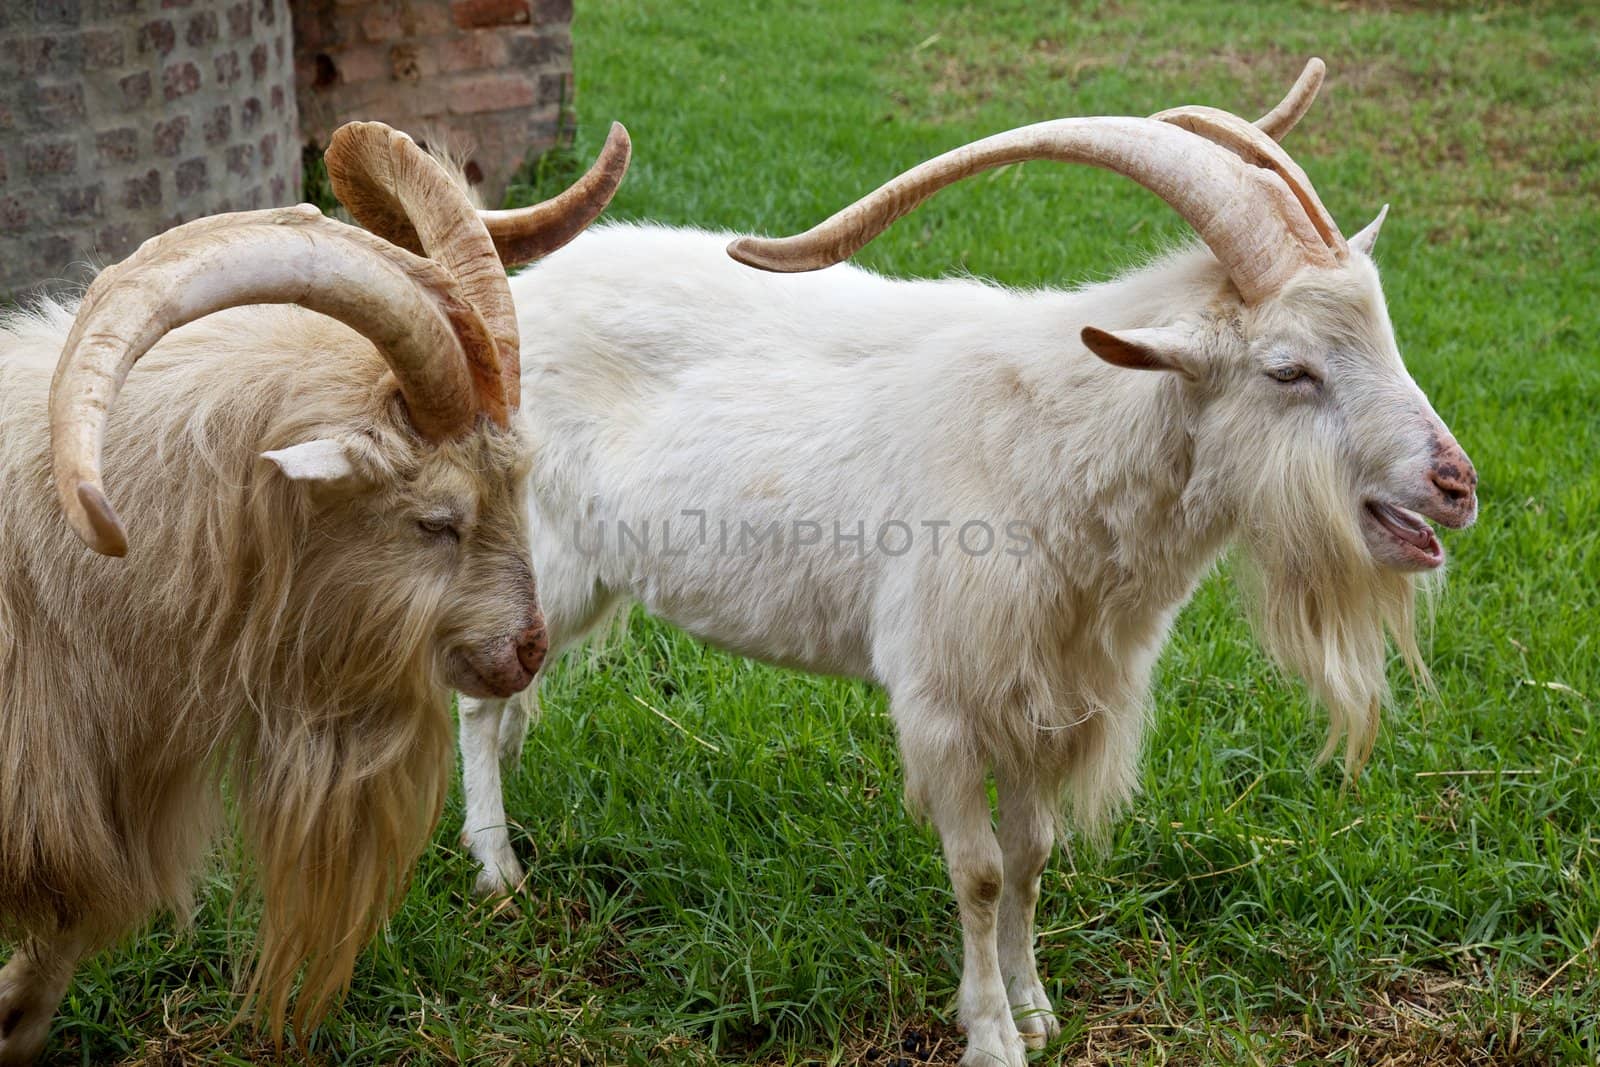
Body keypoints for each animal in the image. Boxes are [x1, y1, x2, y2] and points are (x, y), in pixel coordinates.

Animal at [454, 60, 1472, 1067]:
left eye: (1385, 334)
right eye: (1288, 370)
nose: (1456, 484)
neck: (1055, 437)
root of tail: (517, 297)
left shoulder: (1045, 696)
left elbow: (1031, 855)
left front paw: (1036, 1007)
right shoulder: (941, 699)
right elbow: (978, 872)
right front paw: (991, 1036)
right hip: (540, 558)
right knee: (477, 699)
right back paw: (497, 868)